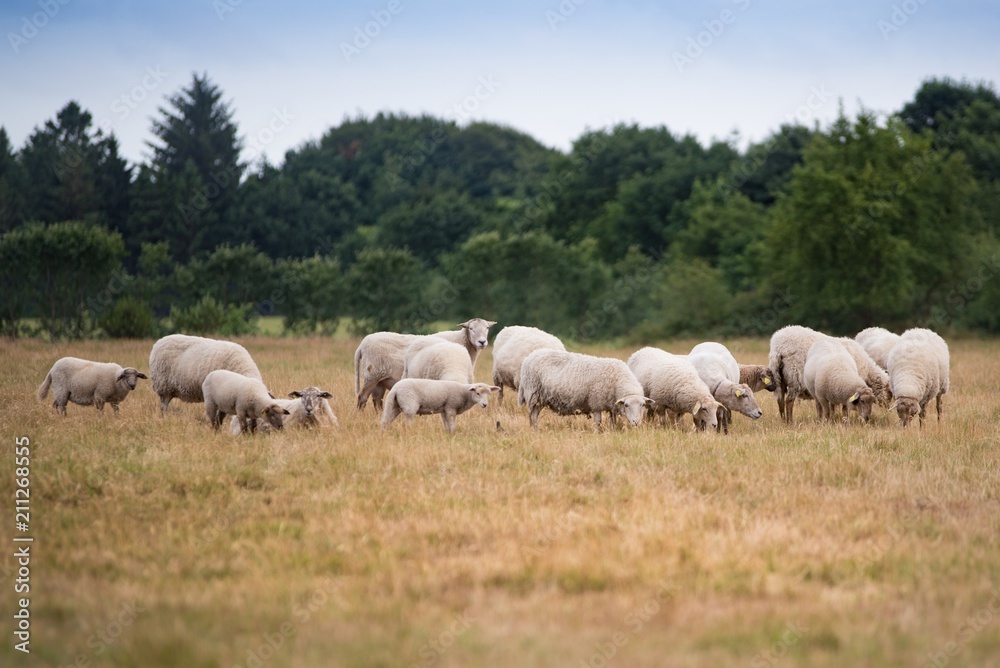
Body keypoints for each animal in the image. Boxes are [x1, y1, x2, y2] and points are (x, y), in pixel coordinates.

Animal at [356, 318, 496, 410]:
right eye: (471, 329)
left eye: (487, 328)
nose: (482, 342)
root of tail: (362, 345)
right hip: (372, 374)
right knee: (362, 397)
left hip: (380, 380)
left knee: (377, 400)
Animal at [516, 348, 656, 430]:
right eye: (626, 405)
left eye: (643, 405)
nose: (636, 422)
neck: (618, 381)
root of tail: (529, 357)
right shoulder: (596, 403)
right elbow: (598, 421)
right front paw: (596, 433)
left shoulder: (611, 405)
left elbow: (613, 420)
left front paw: (612, 430)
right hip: (535, 395)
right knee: (533, 416)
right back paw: (536, 430)